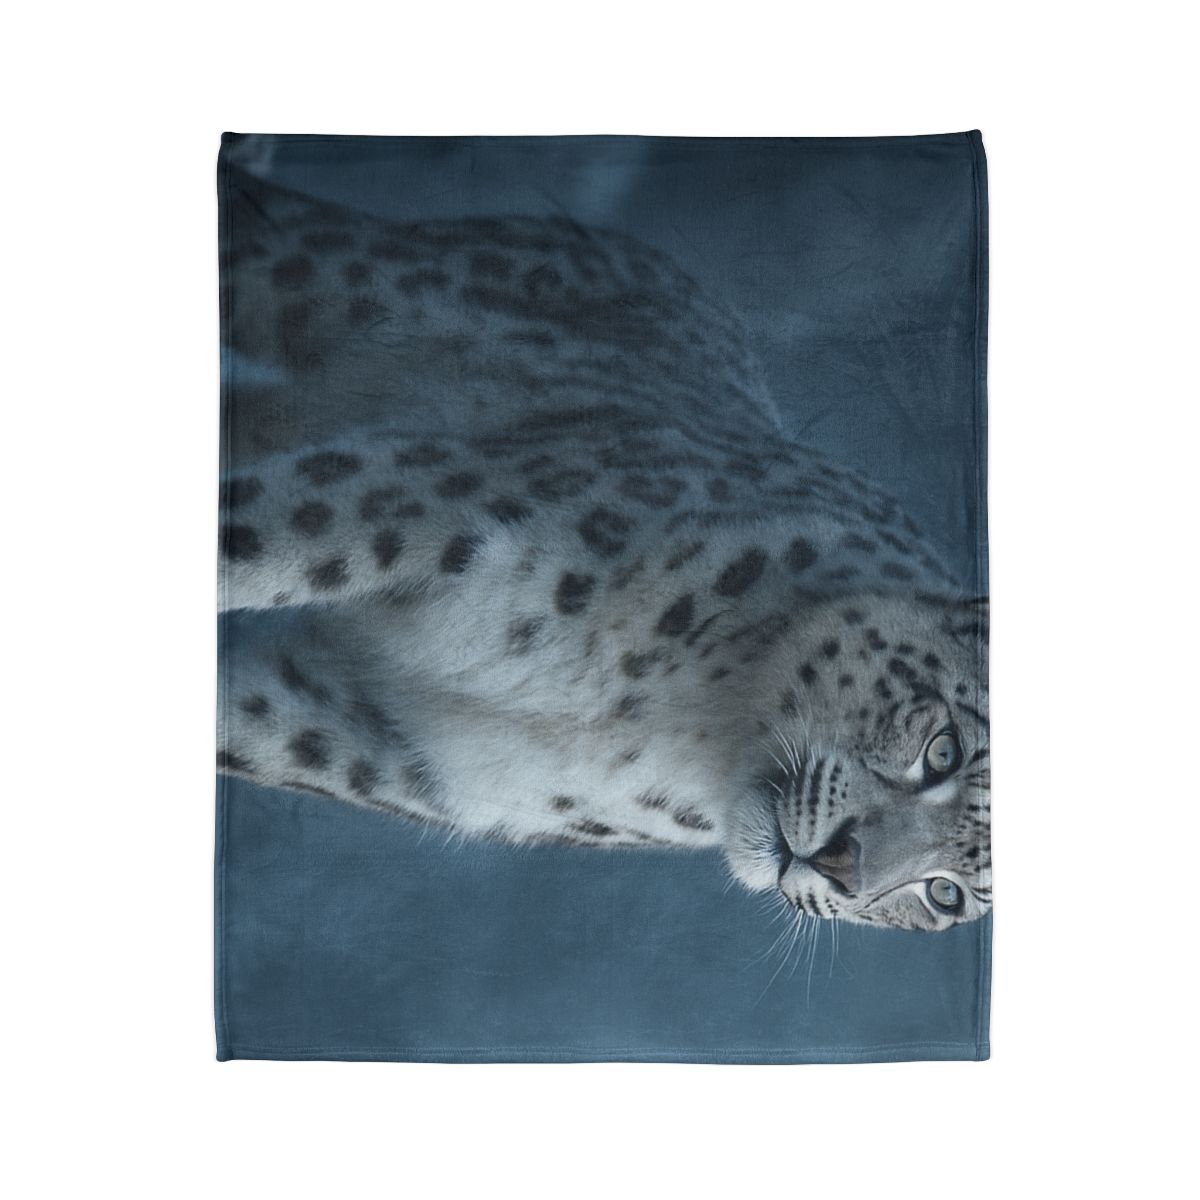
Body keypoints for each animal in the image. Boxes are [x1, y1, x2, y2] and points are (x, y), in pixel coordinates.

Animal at [218, 165, 991, 933]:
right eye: (943, 751)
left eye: (946, 893)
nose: (840, 866)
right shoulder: (423, 500)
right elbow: (246, 541)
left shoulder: (372, 738)